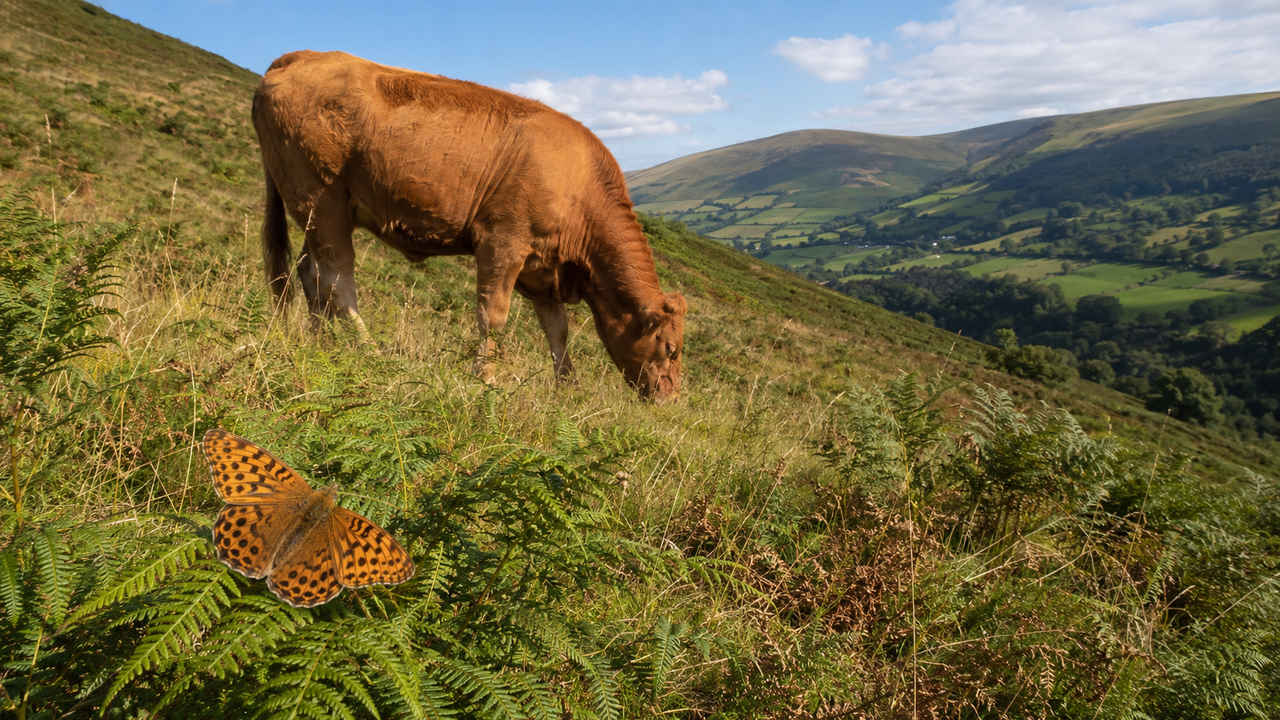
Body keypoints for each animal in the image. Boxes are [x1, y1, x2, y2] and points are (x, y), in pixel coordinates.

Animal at [252, 51, 686, 402]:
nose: (670, 399)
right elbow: (493, 316)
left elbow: (557, 331)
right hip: (318, 198)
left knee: (310, 271)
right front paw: (487, 379)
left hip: (322, 211)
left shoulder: (542, 270)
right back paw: (370, 351)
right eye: (671, 349)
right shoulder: (503, 241)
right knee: (337, 282)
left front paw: (568, 388)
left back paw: (323, 342)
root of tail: (297, 57)